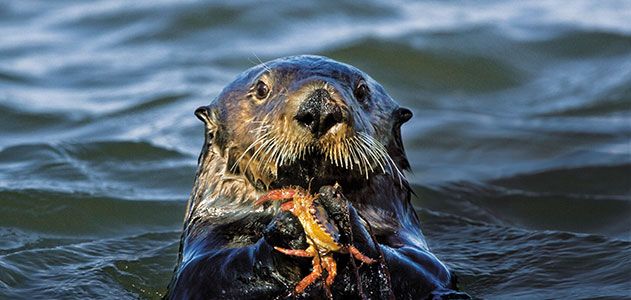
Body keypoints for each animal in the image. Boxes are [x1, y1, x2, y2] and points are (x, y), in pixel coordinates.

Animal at [167, 55, 470, 298]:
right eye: (261, 89)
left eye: (362, 91)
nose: (319, 108)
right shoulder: (207, 243)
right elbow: (208, 273)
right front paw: (287, 231)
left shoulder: (414, 250)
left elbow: (421, 269)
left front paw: (345, 218)